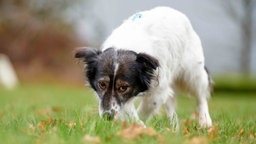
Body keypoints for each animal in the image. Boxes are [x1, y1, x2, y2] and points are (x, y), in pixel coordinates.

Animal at [75, 6, 213, 129]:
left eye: (123, 88)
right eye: (102, 84)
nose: (107, 116)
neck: (125, 44)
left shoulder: (158, 87)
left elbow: (146, 107)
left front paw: (139, 126)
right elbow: (127, 108)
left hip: (192, 73)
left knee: (200, 96)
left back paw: (205, 121)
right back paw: (174, 128)